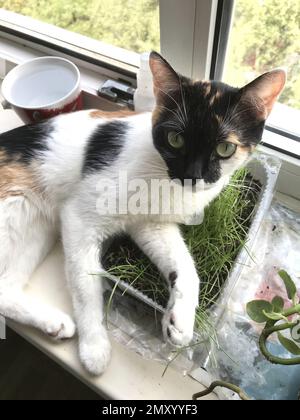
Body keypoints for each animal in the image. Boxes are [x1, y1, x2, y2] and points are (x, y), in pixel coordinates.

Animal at [0, 50, 286, 376]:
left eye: (225, 148)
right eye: (175, 139)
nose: (192, 176)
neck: (163, 180)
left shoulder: (151, 225)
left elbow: (186, 267)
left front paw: (180, 322)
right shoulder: (78, 219)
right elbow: (87, 286)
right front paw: (94, 347)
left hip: (35, 231)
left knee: (4, 290)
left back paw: (53, 323)